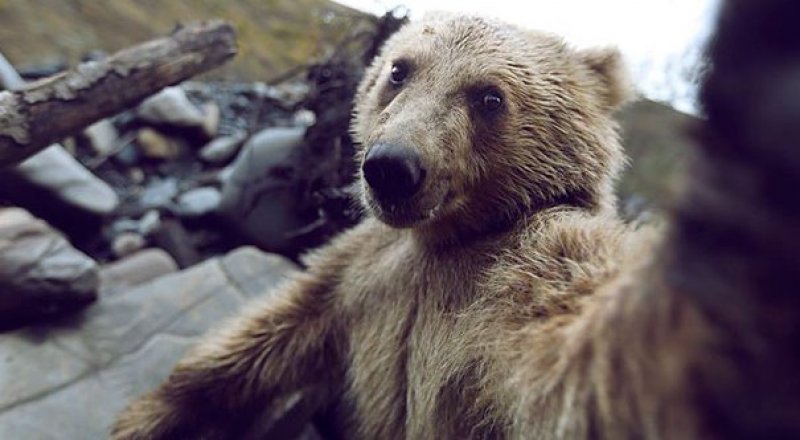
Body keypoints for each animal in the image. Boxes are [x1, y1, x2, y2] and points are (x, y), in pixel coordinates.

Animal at [111, 5, 800, 438]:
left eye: (489, 96)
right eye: (399, 69)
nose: (391, 167)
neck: (445, 239)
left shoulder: (510, 289)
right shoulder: (361, 269)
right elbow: (270, 329)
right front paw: (148, 414)